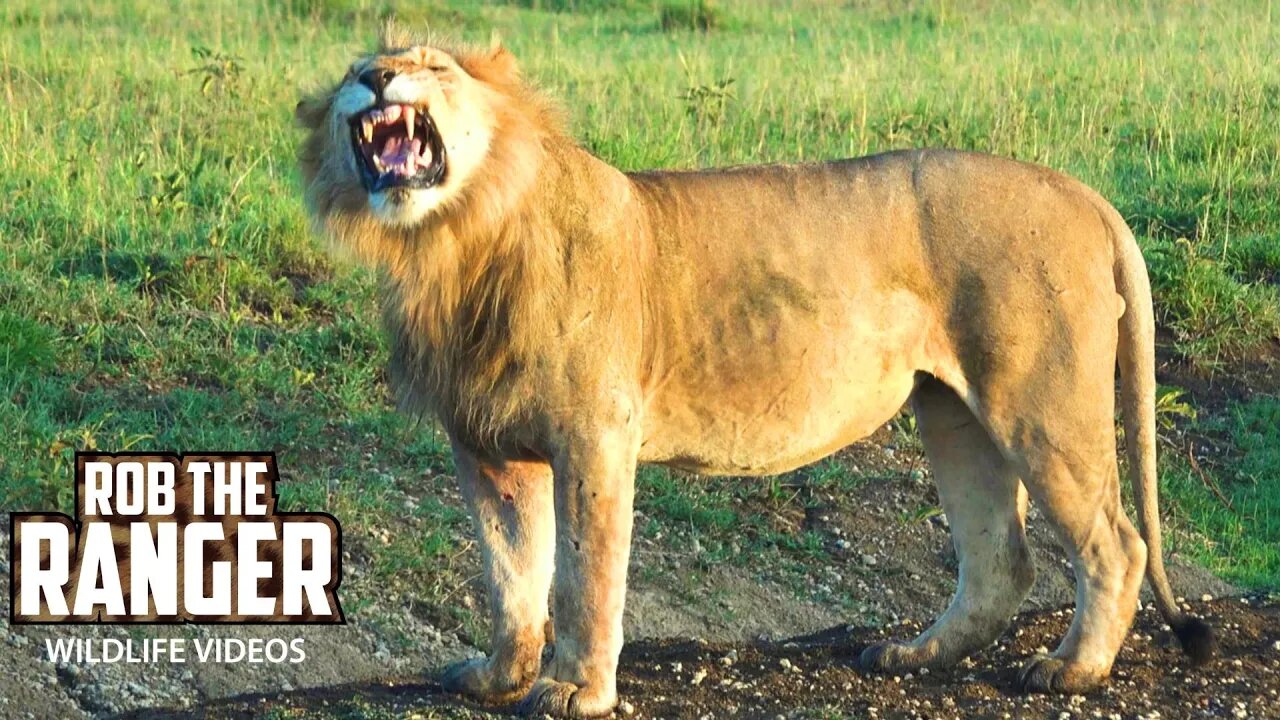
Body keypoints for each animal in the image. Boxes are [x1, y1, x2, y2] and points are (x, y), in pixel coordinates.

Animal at [294, 29, 1213, 717]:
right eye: (352, 69)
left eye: (433, 66)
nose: (375, 77)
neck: (454, 241)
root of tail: (1081, 191)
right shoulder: (486, 448)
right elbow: (510, 571)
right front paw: (498, 677)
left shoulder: (594, 435)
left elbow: (585, 575)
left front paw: (575, 691)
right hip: (953, 412)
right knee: (1000, 561)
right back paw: (914, 654)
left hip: (1040, 400)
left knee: (1117, 543)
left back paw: (1072, 670)